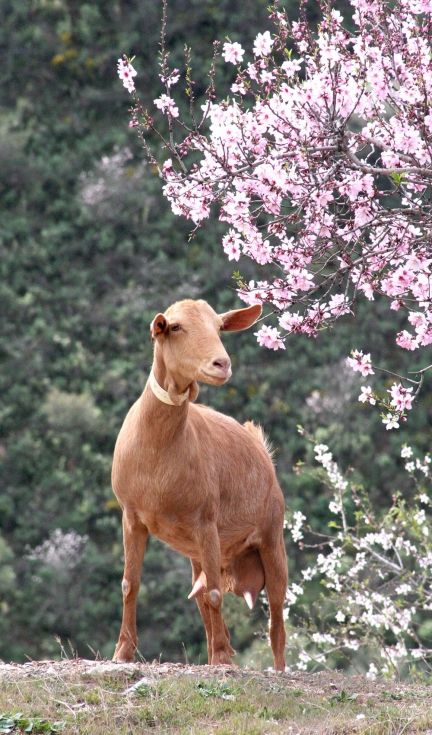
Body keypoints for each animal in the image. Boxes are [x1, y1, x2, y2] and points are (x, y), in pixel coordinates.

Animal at [112, 299, 288, 670]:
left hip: (271, 534)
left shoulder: (206, 520)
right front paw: (122, 652)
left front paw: (222, 658)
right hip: (199, 552)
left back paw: (277, 667)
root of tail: (261, 448)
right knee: (202, 596)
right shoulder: (131, 516)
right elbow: (130, 584)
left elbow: (218, 595)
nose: (222, 364)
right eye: (175, 327)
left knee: (276, 616)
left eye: (219, 327)